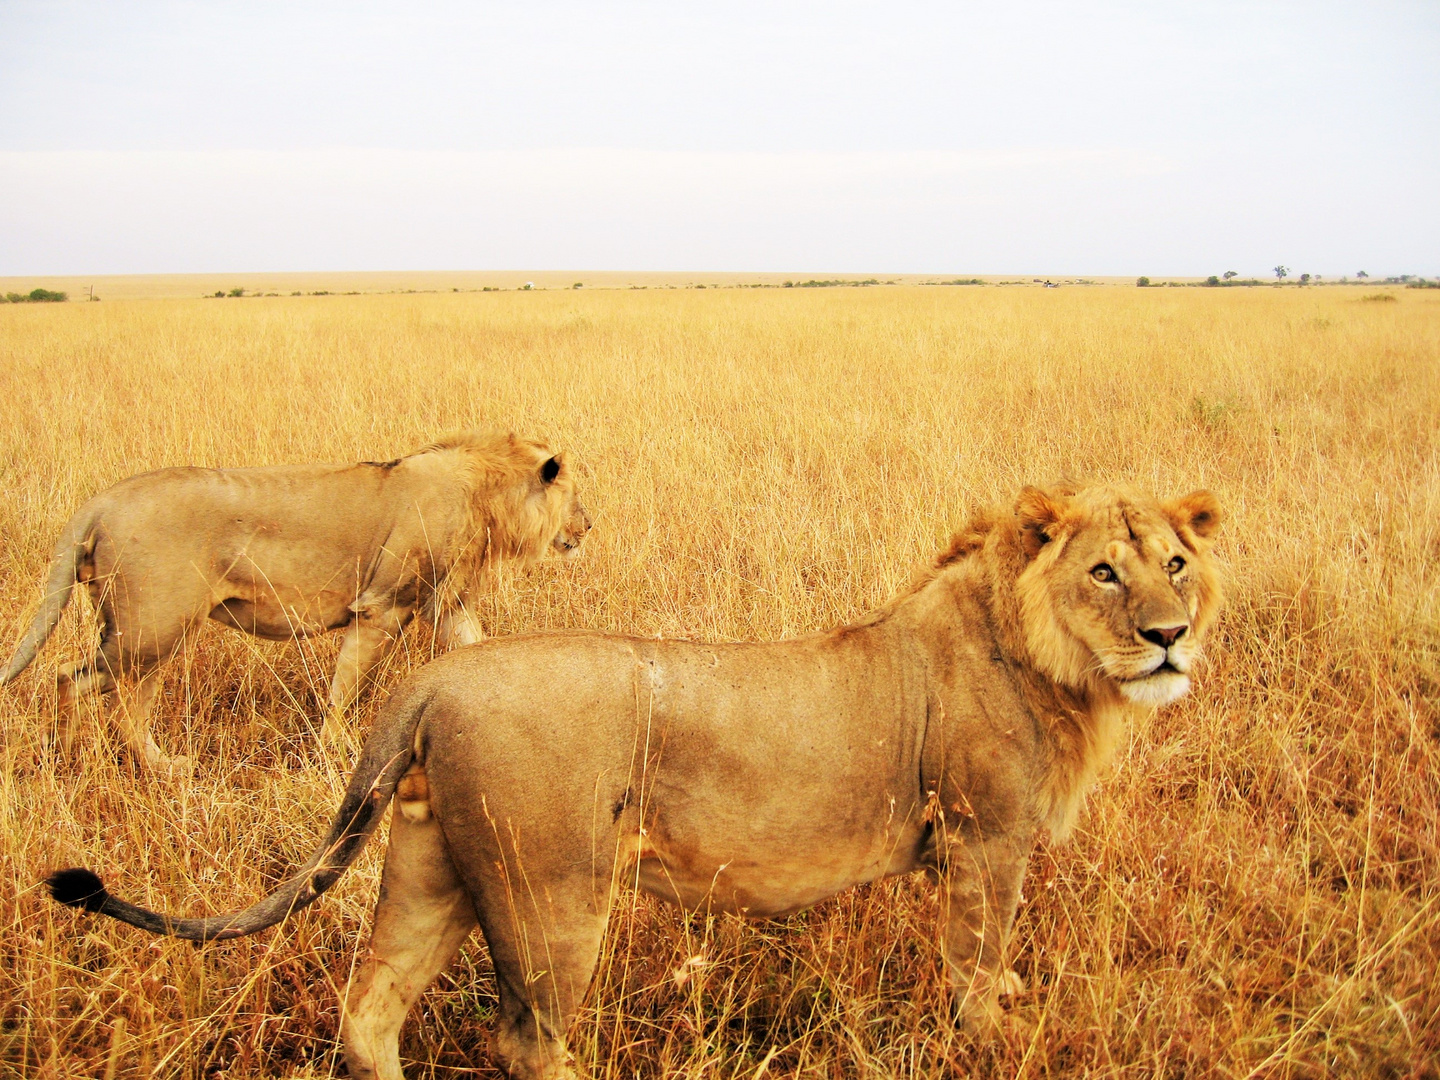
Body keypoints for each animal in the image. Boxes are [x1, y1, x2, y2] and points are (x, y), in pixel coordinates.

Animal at [2, 434, 590, 771]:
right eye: (575, 496)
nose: (589, 525)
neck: (487, 496)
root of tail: (102, 500)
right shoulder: (381, 606)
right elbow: (345, 689)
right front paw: (337, 753)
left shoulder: (443, 606)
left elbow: (477, 647)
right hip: (152, 630)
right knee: (72, 680)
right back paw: (98, 762)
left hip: (155, 638)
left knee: (112, 701)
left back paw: (135, 765)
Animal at [47, 483, 1215, 1080]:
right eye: (1104, 571)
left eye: (1177, 564)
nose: (1172, 637)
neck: (1052, 668)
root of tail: (428, 684)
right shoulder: (983, 839)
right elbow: (977, 961)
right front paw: (999, 1035)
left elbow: (987, 961)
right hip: (553, 892)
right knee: (523, 1039)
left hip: (431, 860)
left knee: (368, 1012)